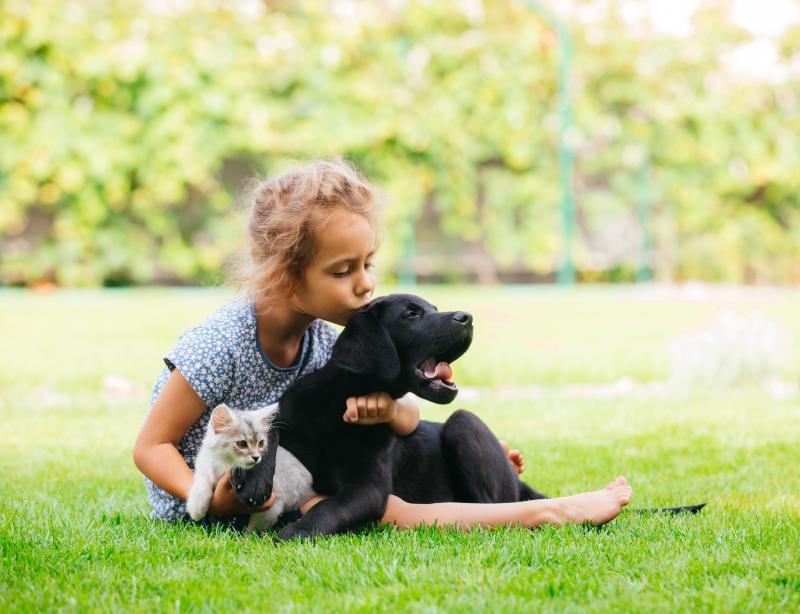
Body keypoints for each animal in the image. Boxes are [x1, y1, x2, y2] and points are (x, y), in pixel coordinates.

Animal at [186, 404, 314, 536]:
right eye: (242, 444)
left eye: (261, 443)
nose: (256, 457)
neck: (225, 464)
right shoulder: (204, 466)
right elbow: (201, 483)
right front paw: (196, 508)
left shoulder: (274, 503)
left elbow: (255, 527)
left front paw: (247, 537)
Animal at [231, 294, 544, 540]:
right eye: (411, 314)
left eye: (433, 308)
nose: (467, 318)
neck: (337, 409)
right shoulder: (290, 407)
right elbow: (268, 424)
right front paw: (254, 479)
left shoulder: (368, 487)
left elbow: (329, 507)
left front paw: (296, 532)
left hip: (463, 422)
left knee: (489, 508)